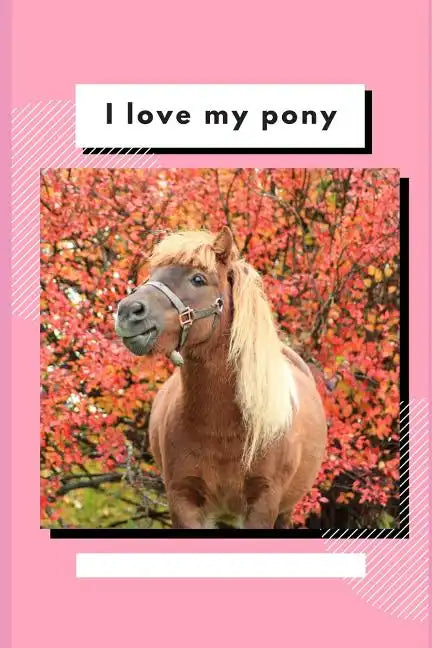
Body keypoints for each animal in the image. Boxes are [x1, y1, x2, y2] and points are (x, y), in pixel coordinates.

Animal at [115, 227, 327, 529]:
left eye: (198, 279)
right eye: (153, 273)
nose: (128, 311)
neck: (222, 427)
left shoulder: (264, 502)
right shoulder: (183, 499)